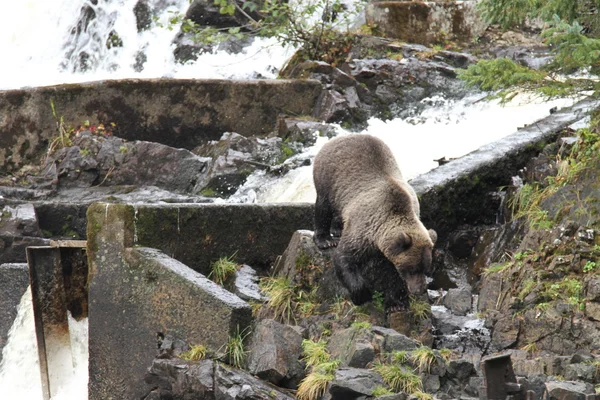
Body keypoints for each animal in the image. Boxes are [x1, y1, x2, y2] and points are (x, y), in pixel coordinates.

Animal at [314, 133, 436, 310]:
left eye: (426, 268)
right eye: (412, 269)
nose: (419, 290)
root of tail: (343, 136)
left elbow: (390, 274)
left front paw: (396, 302)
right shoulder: (363, 227)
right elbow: (344, 257)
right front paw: (361, 295)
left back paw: (337, 229)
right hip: (328, 176)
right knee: (323, 207)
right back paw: (325, 239)